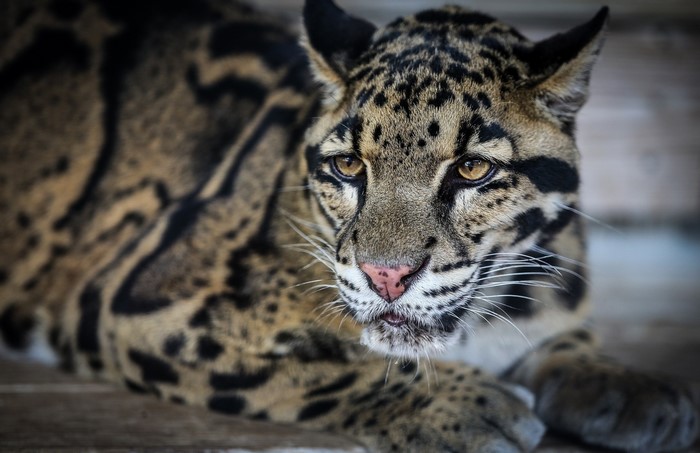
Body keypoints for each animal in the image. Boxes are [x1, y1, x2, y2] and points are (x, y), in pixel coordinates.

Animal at [0, 0, 697, 451]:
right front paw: (460, 403)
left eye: (472, 169)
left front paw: (623, 383)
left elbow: (563, 339)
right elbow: (329, 359)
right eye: (348, 165)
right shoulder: (142, 299)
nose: (386, 276)